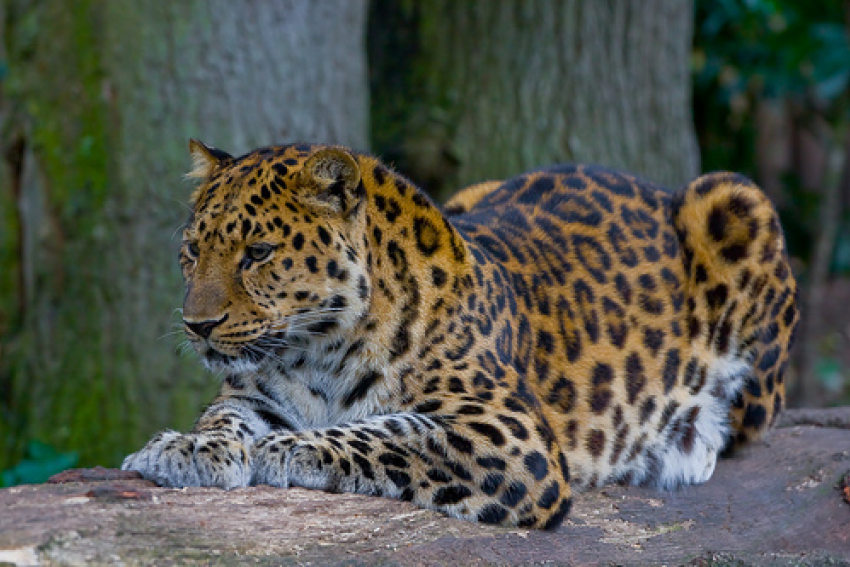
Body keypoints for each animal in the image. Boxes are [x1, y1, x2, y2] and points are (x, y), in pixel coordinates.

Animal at [119, 140, 796, 532]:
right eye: (191, 253)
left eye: (257, 253)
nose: (197, 326)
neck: (319, 350)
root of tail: (653, 186)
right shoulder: (253, 394)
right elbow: (225, 419)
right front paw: (186, 448)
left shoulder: (510, 435)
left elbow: (386, 431)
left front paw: (287, 448)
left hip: (736, 200)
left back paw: (690, 443)